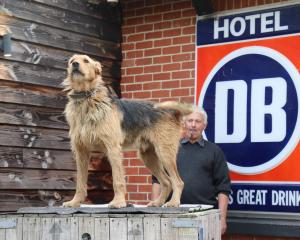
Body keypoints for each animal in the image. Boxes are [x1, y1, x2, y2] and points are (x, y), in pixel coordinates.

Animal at [62, 54, 192, 208]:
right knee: (166, 181)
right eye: (72, 61)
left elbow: (117, 180)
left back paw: (173, 202)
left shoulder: (113, 149)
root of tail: (172, 111)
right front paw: (75, 202)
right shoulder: (81, 152)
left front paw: (118, 202)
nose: (75, 64)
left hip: (165, 152)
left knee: (178, 181)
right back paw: (158, 202)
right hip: (148, 156)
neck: (86, 98)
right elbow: (80, 182)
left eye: (86, 61)